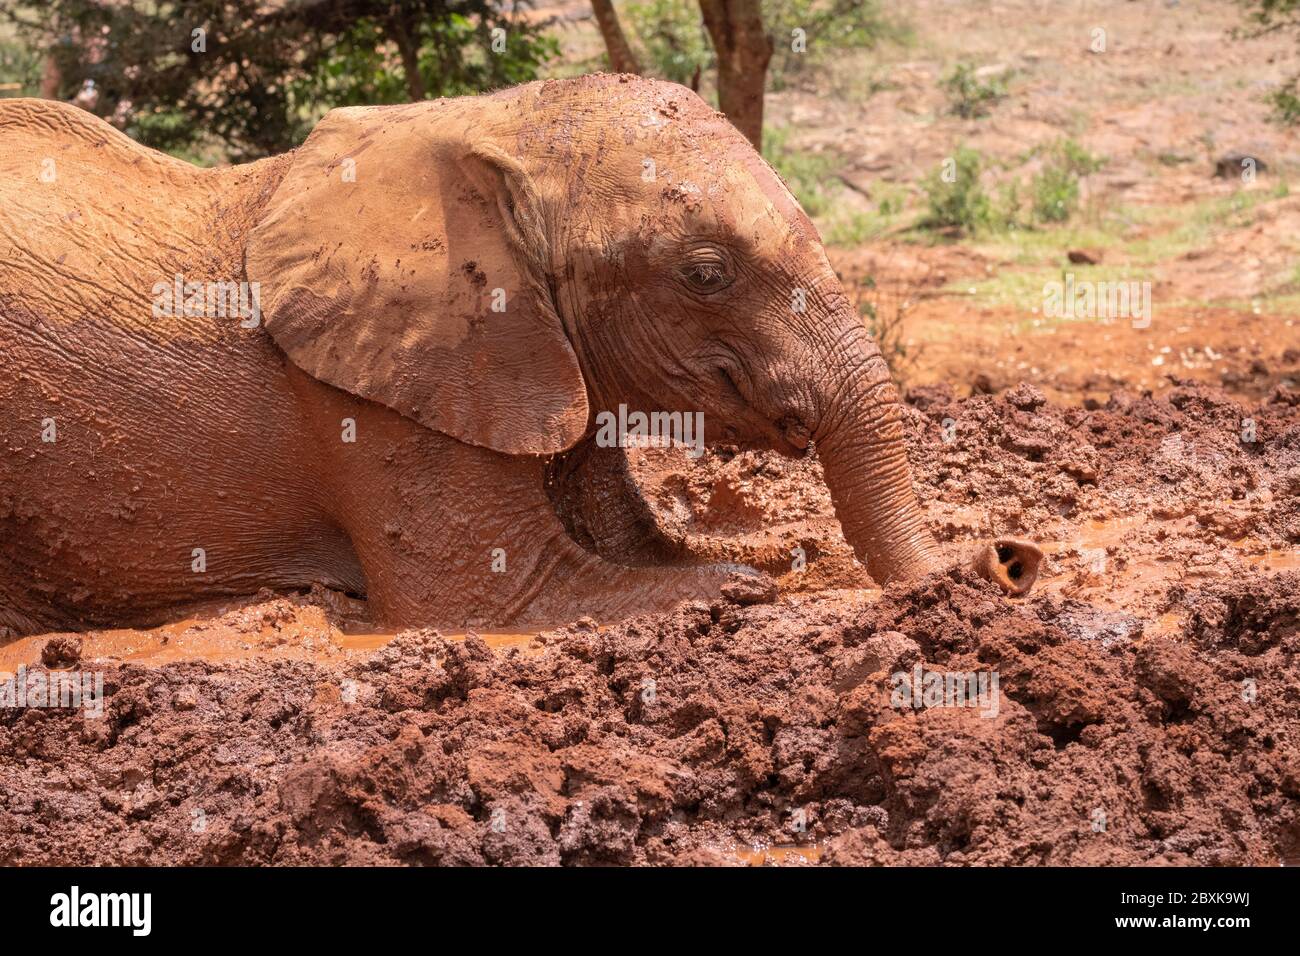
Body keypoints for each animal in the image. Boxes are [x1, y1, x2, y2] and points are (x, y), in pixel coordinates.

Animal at [0, 75, 1041, 638]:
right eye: (706, 274)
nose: (1011, 560)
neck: (496, 127)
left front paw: (771, 553)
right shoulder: (379, 389)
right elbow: (502, 597)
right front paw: (744, 586)